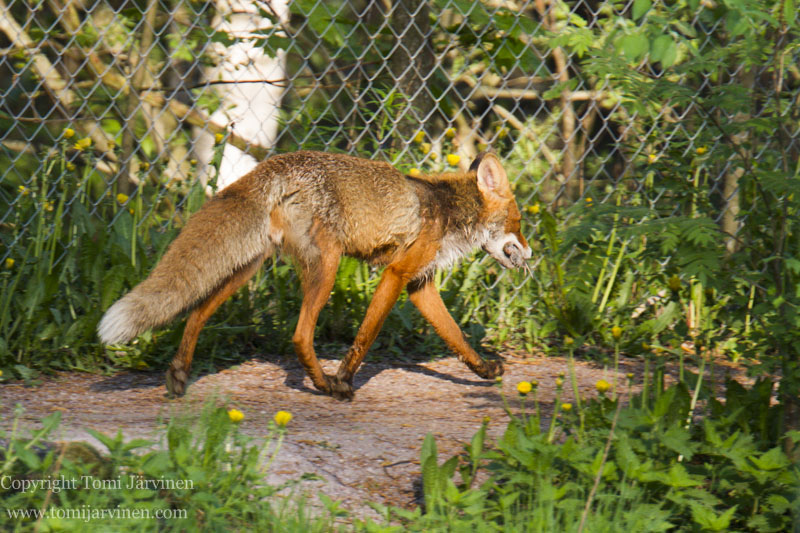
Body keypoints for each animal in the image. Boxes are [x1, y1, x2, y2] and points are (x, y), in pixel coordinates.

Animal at [98, 150, 532, 400]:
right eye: (519, 222)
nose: (531, 253)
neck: (448, 211)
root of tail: (276, 164)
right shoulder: (396, 274)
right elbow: (365, 337)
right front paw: (346, 379)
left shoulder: (418, 285)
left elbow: (457, 338)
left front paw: (485, 370)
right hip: (327, 265)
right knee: (300, 335)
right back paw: (326, 386)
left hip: (246, 269)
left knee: (197, 312)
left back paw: (178, 374)